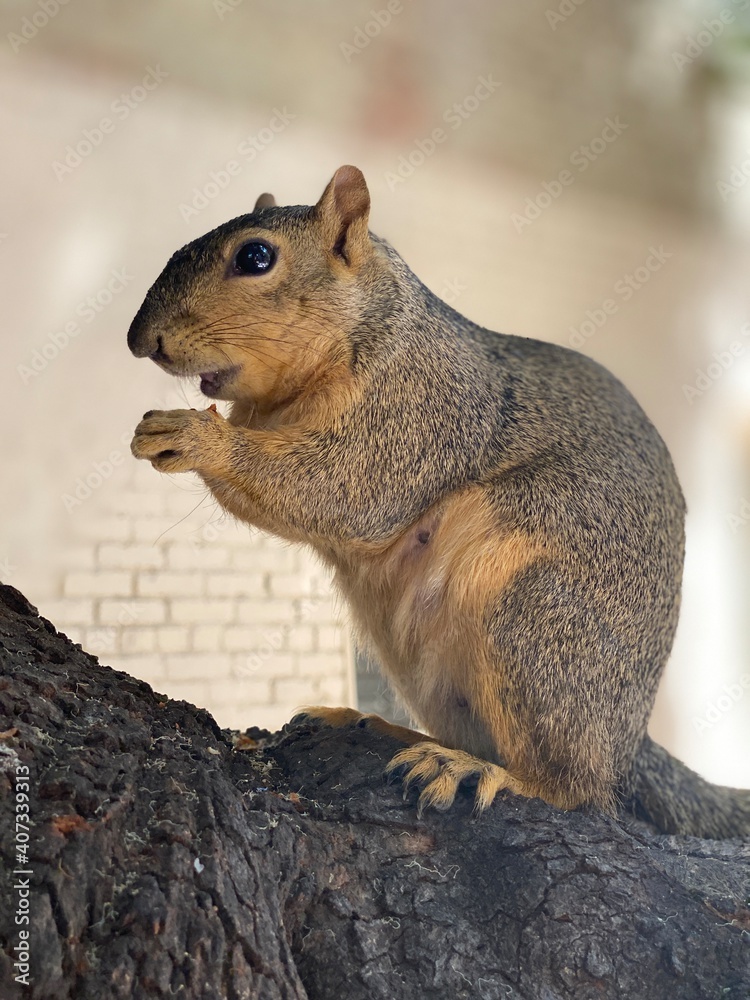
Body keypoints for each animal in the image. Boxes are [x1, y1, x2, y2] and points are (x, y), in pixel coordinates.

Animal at [128, 165, 750, 839]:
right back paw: (379, 725)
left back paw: (489, 772)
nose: (139, 340)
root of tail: (627, 744)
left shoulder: (417, 415)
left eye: (256, 257)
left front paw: (198, 436)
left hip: (534, 623)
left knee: (581, 792)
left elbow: (339, 490)